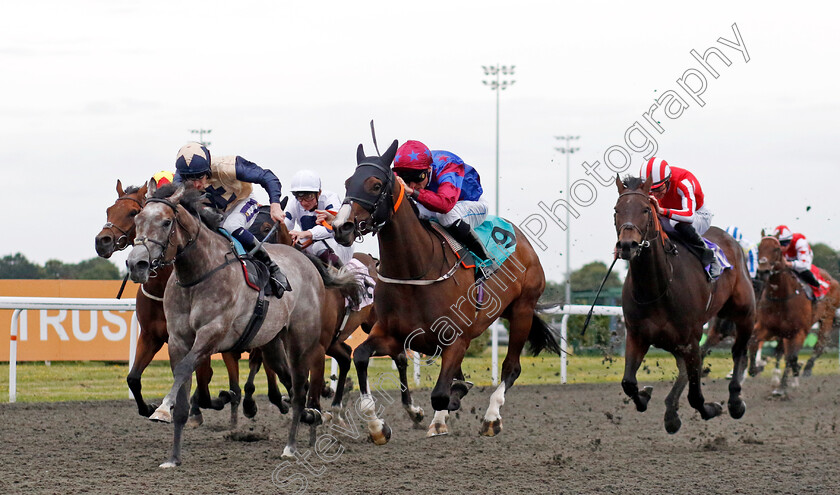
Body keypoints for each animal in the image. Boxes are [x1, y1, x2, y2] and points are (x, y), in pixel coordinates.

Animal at [125, 183, 358, 468]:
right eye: (137, 219)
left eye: (166, 221)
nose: (136, 264)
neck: (197, 276)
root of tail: (306, 259)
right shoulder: (178, 340)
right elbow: (182, 395)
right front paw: (173, 458)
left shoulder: (212, 334)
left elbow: (183, 370)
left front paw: (161, 409)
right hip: (272, 343)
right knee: (291, 384)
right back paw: (309, 416)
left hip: (302, 342)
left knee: (301, 390)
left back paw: (292, 445)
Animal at [332, 140, 560, 442]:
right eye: (348, 182)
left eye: (376, 184)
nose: (341, 227)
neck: (416, 271)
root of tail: (521, 240)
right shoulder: (392, 335)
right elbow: (360, 356)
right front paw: (377, 426)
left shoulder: (457, 339)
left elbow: (441, 394)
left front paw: (453, 398)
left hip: (522, 310)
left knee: (511, 367)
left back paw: (490, 417)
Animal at [612, 177, 756, 434]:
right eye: (616, 210)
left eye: (646, 209)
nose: (627, 245)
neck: (657, 288)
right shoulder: (637, 335)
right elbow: (629, 383)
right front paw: (647, 396)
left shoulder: (690, 338)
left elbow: (696, 396)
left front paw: (712, 408)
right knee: (683, 367)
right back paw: (671, 411)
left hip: (744, 313)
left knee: (738, 351)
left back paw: (735, 402)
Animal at [752, 236, 836, 396]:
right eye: (759, 248)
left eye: (776, 249)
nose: (763, 271)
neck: (782, 296)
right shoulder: (766, 327)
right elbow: (754, 342)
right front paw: (757, 367)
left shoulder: (798, 332)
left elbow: (791, 357)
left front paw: (783, 387)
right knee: (781, 352)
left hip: (826, 321)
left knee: (818, 346)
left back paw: (806, 370)